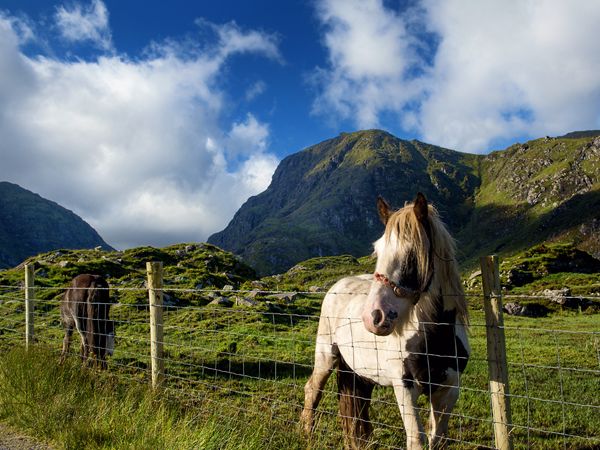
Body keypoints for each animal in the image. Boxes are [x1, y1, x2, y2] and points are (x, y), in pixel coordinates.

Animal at [302, 193, 472, 450]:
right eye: (377, 251)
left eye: (412, 254)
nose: (373, 317)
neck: (435, 335)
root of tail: (337, 285)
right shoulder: (404, 387)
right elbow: (417, 439)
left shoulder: (449, 389)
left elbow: (439, 438)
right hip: (326, 356)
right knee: (313, 390)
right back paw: (306, 434)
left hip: (360, 371)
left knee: (359, 404)